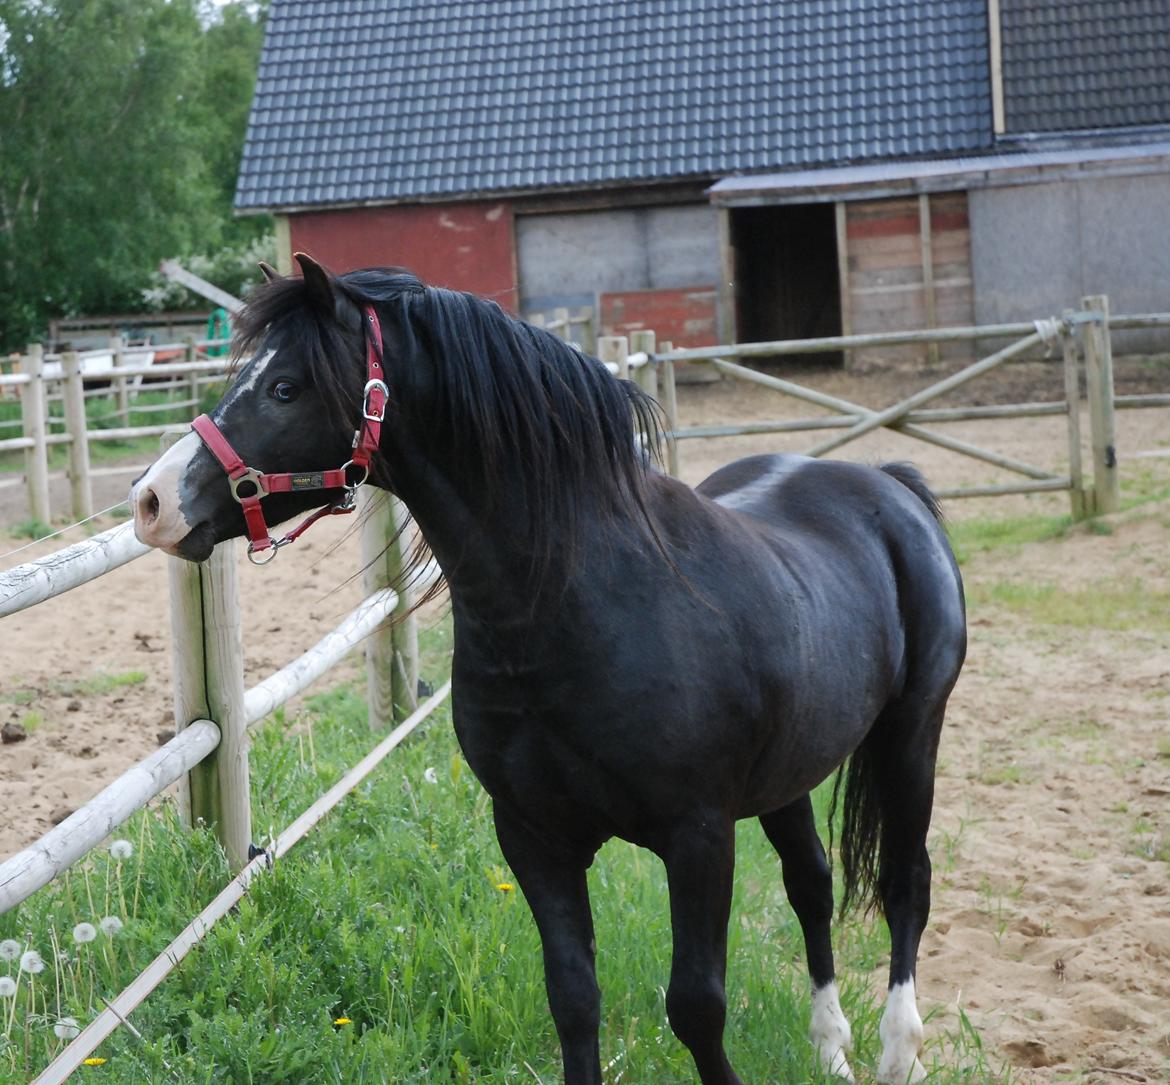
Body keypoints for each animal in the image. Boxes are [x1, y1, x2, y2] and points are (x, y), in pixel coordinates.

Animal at [132, 256, 964, 1085]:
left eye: (284, 387)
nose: (151, 500)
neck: (574, 604)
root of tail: (890, 486)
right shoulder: (533, 836)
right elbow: (573, 997)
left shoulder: (699, 836)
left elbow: (697, 1005)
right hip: (788, 772)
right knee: (812, 883)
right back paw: (832, 1049)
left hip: (912, 733)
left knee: (905, 883)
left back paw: (899, 1051)